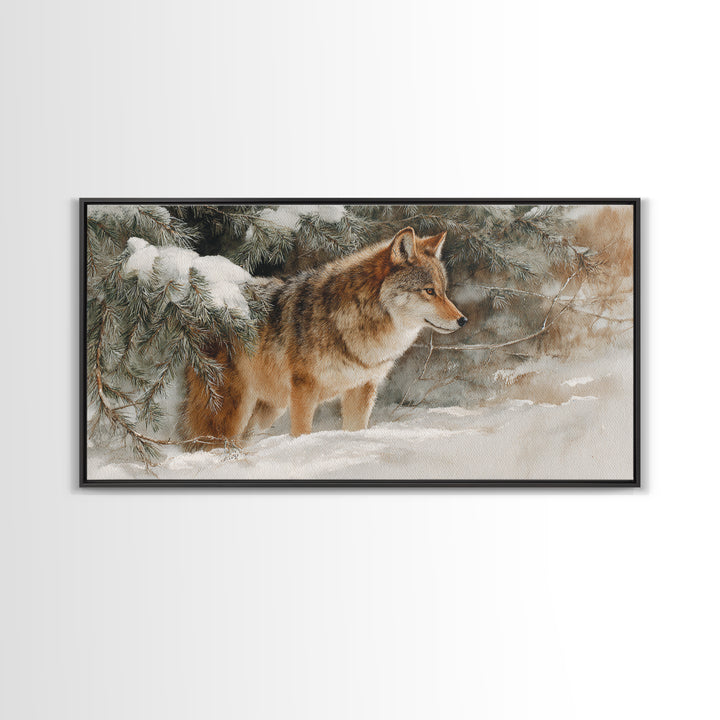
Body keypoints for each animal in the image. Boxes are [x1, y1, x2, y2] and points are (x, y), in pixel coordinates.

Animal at [182, 226, 467, 445]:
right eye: (428, 291)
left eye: (443, 291)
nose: (463, 320)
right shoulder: (304, 390)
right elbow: (301, 432)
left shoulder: (362, 388)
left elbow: (355, 429)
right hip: (230, 410)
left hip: (269, 409)